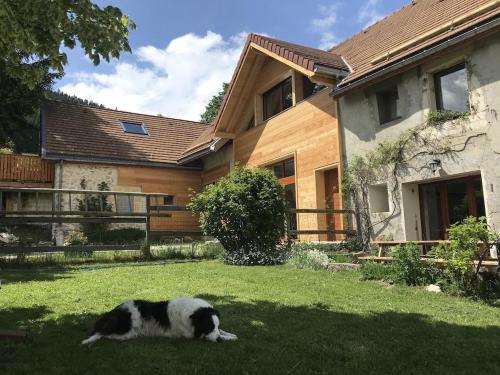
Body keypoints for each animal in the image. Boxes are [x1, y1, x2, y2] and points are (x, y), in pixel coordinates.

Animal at [81, 298, 237, 346]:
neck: (192, 314)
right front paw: (227, 338)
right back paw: (90, 340)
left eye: (215, 325)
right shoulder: (192, 334)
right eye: (208, 326)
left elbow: (223, 331)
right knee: (104, 334)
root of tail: (114, 311)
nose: (219, 340)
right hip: (127, 332)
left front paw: (230, 334)